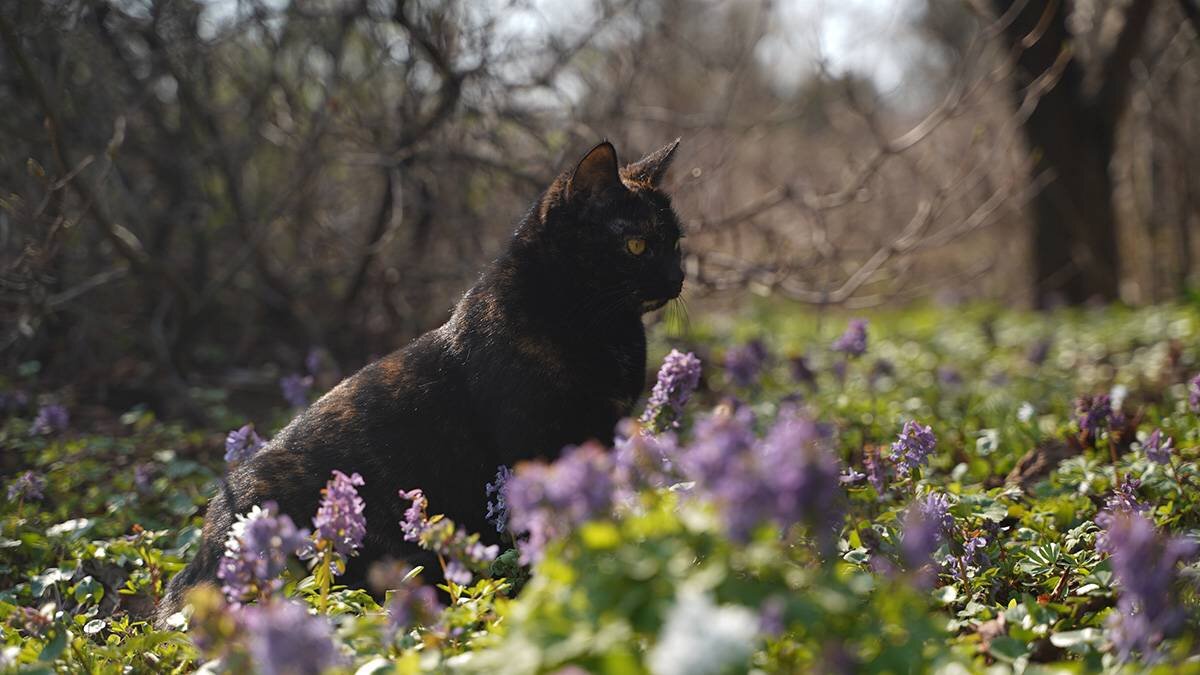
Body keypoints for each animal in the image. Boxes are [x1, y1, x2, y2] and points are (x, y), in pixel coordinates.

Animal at [156, 139, 691, 624]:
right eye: (637, 244)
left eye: (676, 244)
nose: (677, 278)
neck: (601, 324)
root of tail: (193, 569)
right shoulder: (537, 443)